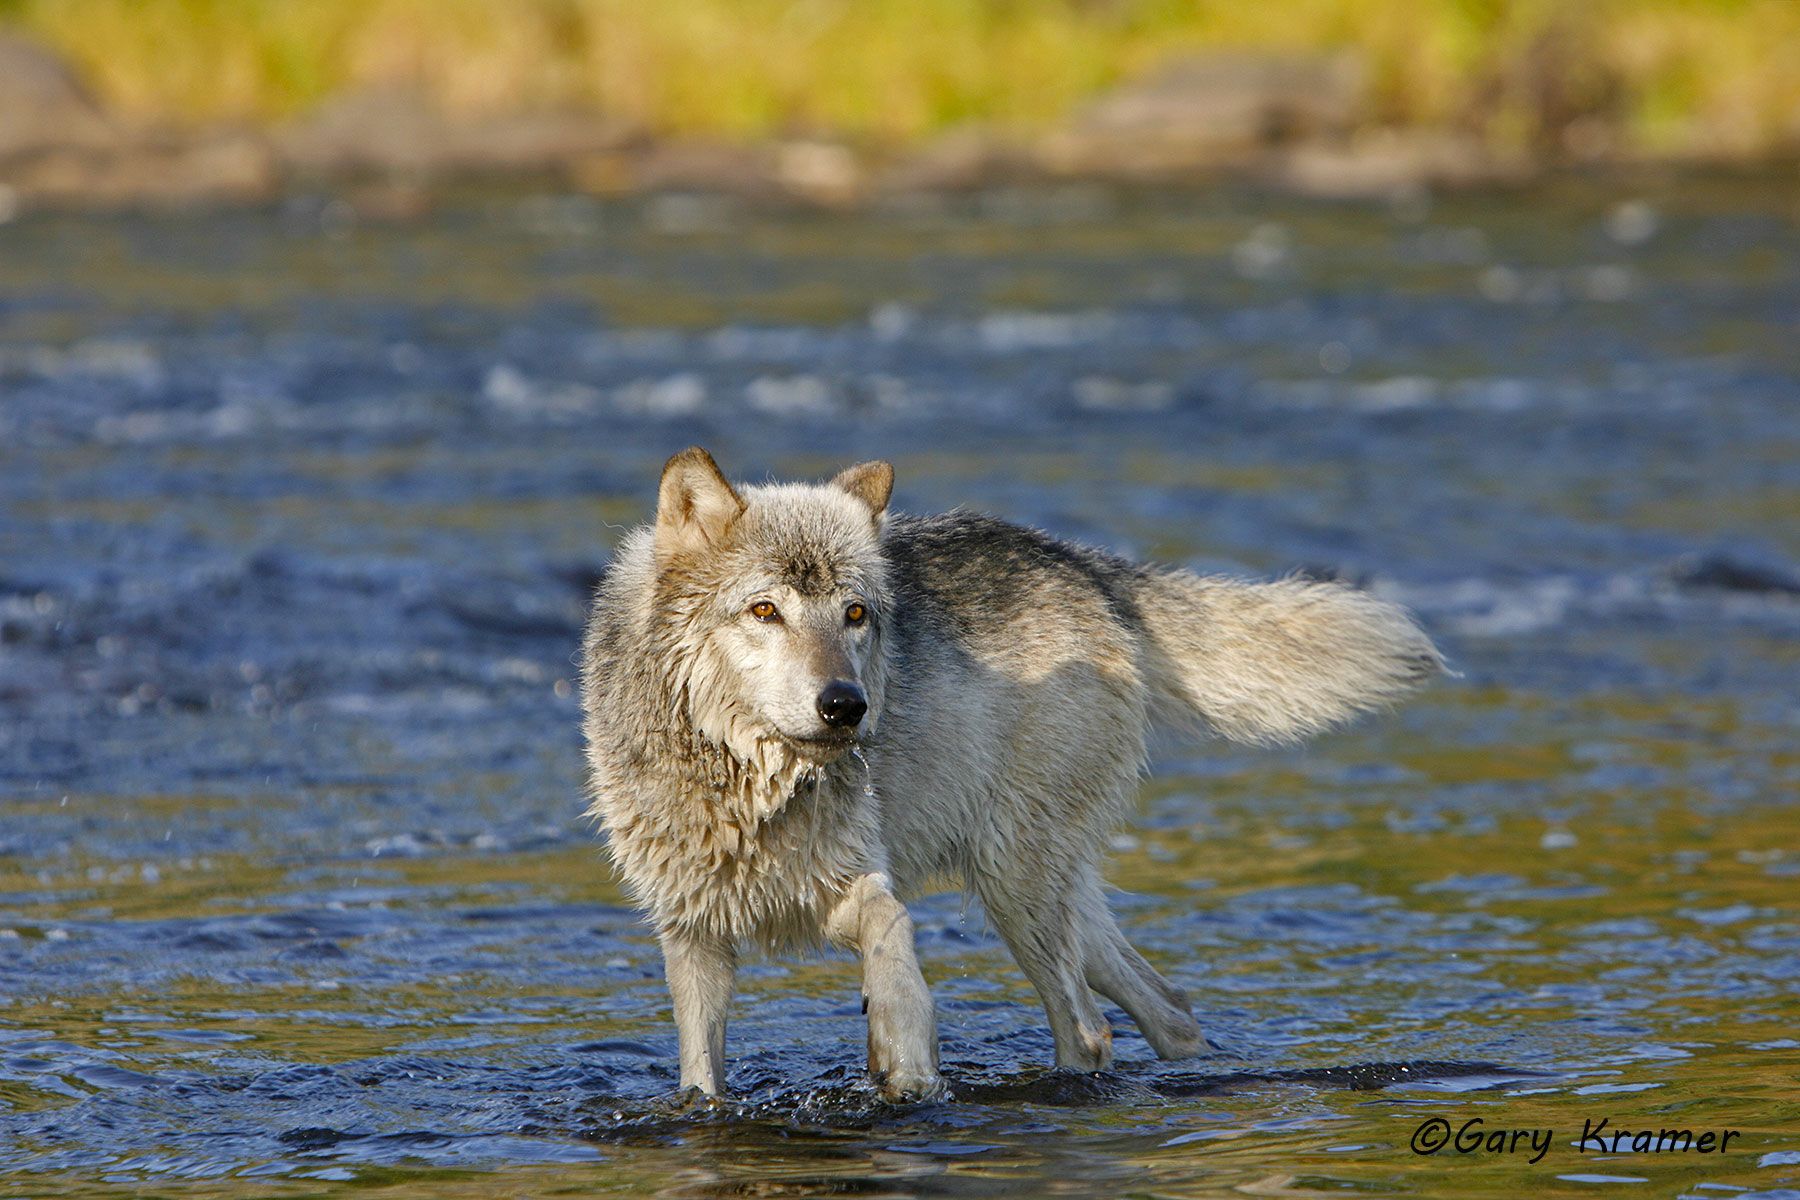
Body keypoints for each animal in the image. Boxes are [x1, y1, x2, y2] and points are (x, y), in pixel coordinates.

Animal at [581, 448, 1441, 1102]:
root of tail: (1085, 567)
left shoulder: (858, 878)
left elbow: (892, 939)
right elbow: (701, 1080)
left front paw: (904, 1053)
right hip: (1049, 896)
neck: (748, 780)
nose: (847, 706)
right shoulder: (692, 938)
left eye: (855, 614)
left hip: (1012, 883)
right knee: (1170, 1010)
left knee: (1090, 1032)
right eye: (765, 611)